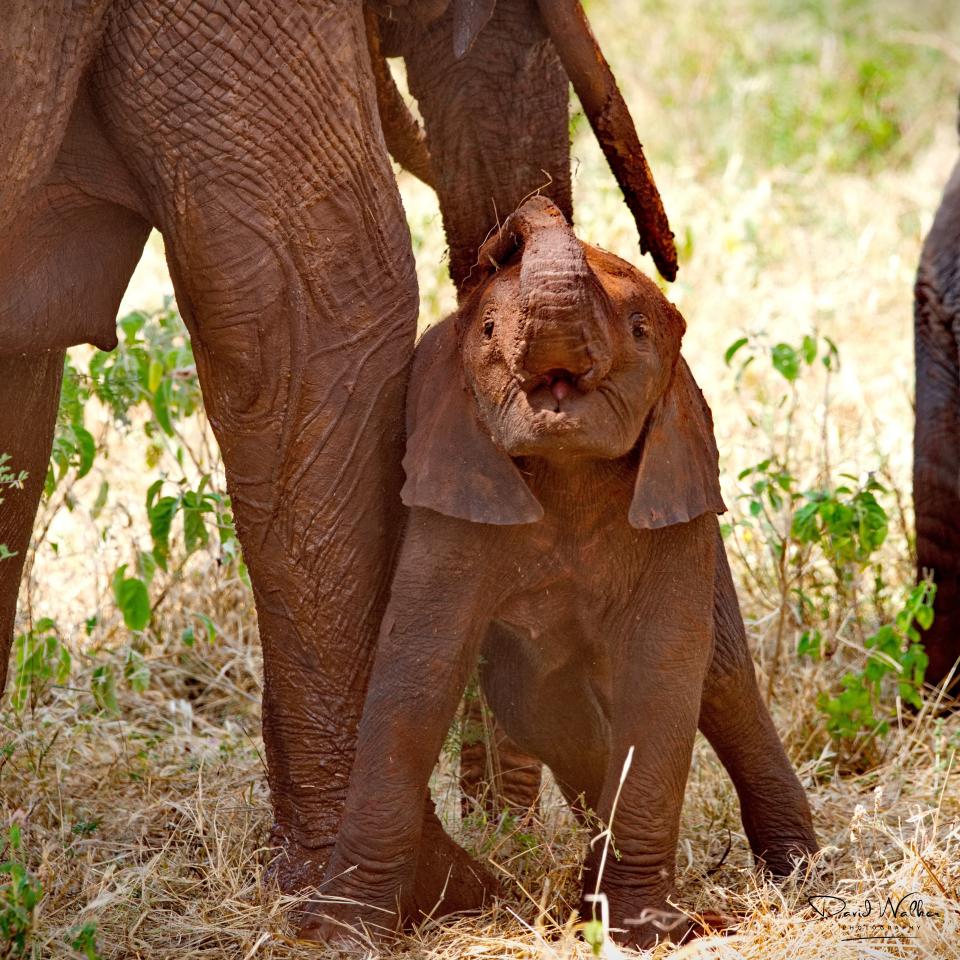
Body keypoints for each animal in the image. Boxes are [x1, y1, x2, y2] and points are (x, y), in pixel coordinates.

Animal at [302, 197, 818, 948]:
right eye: (489, 330)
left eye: (640, 330)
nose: (524, 217)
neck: (568, 465)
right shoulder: (454, 488)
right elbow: (418, 669)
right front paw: (342, 934)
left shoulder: (677, 504)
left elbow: (664, 672)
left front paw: (639, 930)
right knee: (537, 696)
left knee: (722, 674)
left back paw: (799, 875)